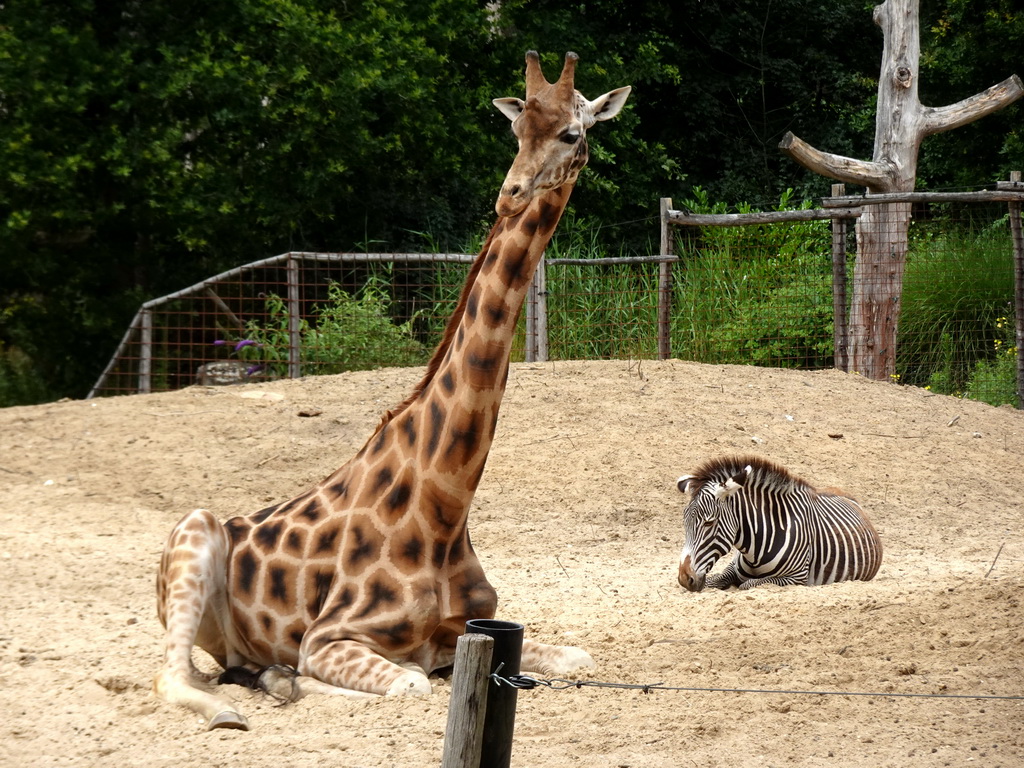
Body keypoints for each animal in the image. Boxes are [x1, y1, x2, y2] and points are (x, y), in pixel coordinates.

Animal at [151, 49, 630, 733]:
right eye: (516, 131)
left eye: (571, 132)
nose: (509, 194)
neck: (446, 505)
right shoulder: (328, 638)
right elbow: (410, 684)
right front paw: (295, 680)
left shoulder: (475, 628)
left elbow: (574, 656)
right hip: (192, 537)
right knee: (177, 675)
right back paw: (247, 699)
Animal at [675, 456, 884, 593]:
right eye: (684, 523)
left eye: (709, 523)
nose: (685, 579)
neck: (755, 549)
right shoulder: (732, 568)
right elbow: (713, 581)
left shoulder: (796, 577)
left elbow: (746, 584)